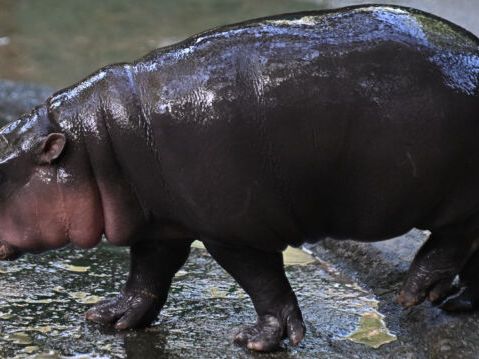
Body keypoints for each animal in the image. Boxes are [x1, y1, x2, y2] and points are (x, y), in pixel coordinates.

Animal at [0, 4, 479, 352]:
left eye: (1, 171)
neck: (97, 145)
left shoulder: (234, 231)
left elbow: (263, 283)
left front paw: (258, 341)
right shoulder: (161, 223)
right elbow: (147, 275)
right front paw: (109, 317)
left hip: (450, 193)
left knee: (457, 235)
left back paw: (419, 292)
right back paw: (458, 302)